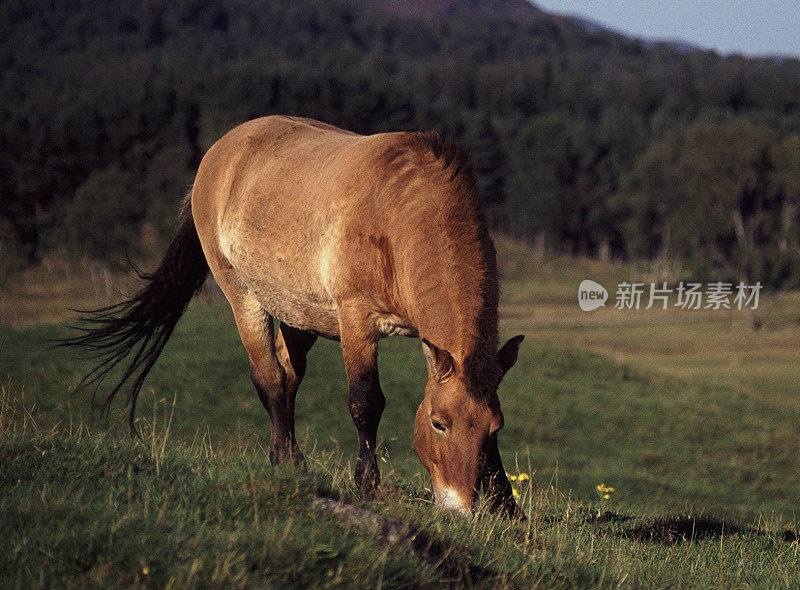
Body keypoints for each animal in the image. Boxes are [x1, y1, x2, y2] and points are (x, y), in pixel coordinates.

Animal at [67, 117, 524, 520]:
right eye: (438, 424)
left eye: (494, 429)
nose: (460, 509)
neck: (401, 214)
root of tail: (219, 153)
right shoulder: (357, 321)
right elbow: (365, 402)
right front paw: (367, 484)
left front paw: (506, 504)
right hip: (244, 296)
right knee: (269, 377)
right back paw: (291, 461)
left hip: (300, 316)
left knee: (288, 377)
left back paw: (280, 456)